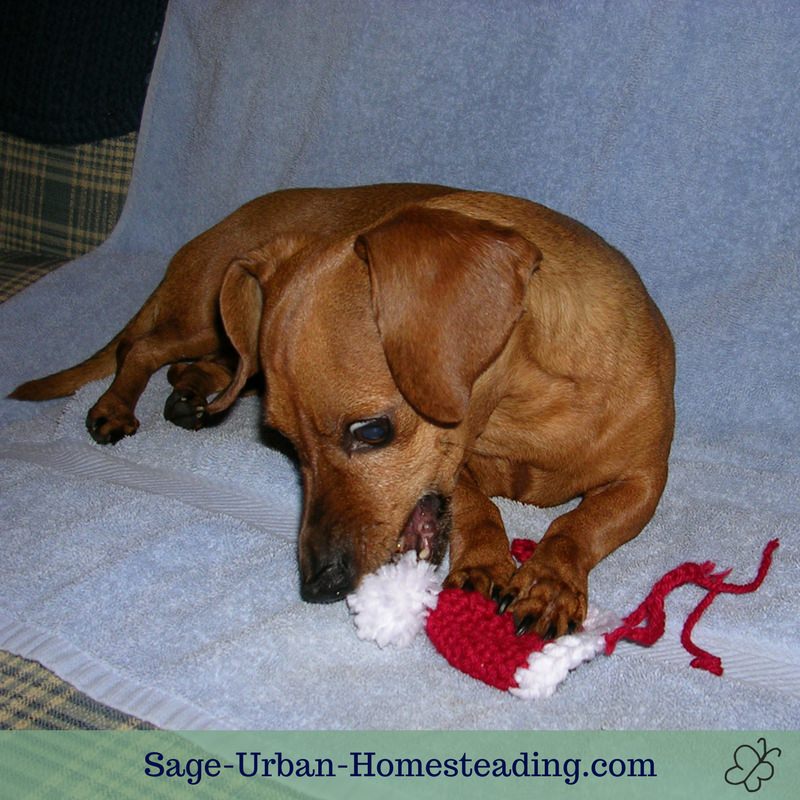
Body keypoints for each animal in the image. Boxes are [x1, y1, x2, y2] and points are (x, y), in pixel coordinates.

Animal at [14, 184, 676, 640]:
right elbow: (478, 505)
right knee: (142, 348)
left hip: (227, 335)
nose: (317, 586)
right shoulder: (462, 468)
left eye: (371, 430)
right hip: (205, 317)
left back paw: (192, 393)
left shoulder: (643, 484)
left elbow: (579, 525)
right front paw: (485, 559)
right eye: (283, 443)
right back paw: (115, 406)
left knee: (194, 364)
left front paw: (550, 581)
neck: (527, 414)